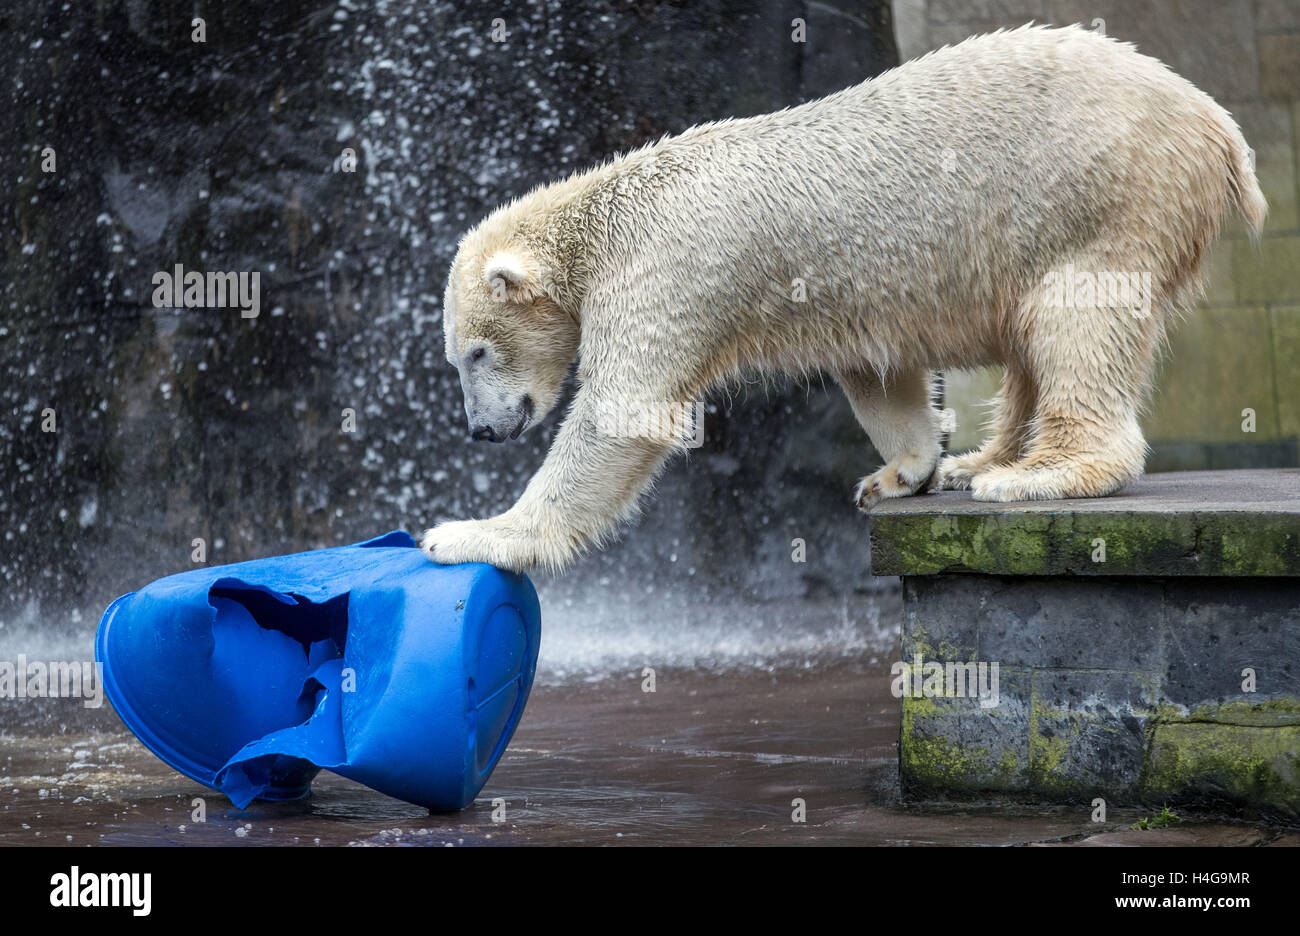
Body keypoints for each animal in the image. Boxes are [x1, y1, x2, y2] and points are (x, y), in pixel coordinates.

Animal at [421, 23, 1263, 569]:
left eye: (475, 351)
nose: (481, 432)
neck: (604, 220)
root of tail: (1220, 127)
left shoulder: (665, 268)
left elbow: (621, 412)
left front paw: (470, 534)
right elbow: (879, 376)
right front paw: (904, 470)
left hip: (1103, 195)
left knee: (1076, 322)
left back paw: (1037, 474)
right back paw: (978, 460)